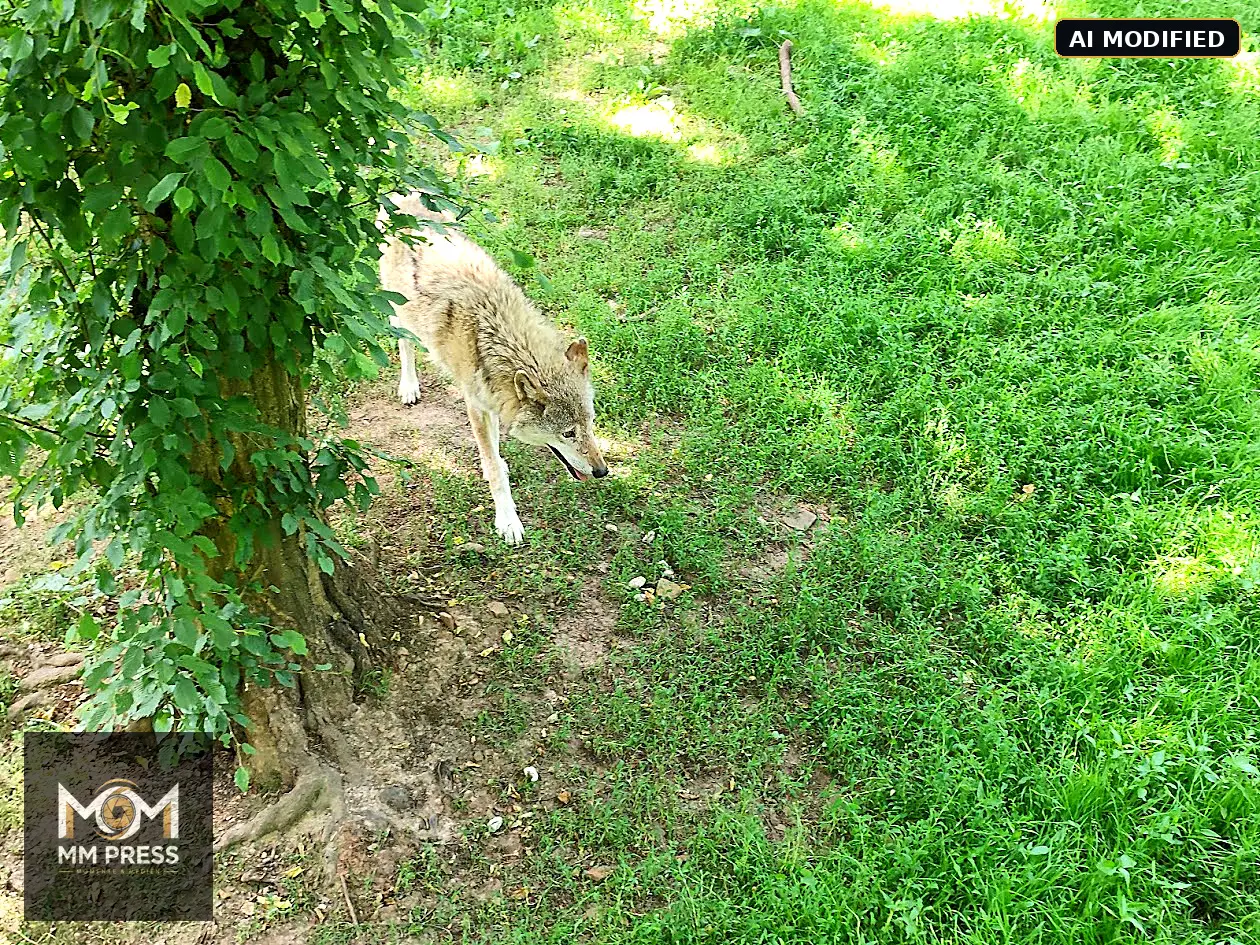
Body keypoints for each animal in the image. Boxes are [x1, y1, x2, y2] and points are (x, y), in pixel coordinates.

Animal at [378, 194, 608, 545]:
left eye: (591, 424)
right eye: (568, 433)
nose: (602, 471)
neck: (493, 334)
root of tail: (405, 195)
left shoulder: (495, 399)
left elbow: (496, 447)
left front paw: (499, 460)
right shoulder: (475, 405)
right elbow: (493, 468)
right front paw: (508, 520)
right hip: (397, 309)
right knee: (403, 341)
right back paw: (409, 386)